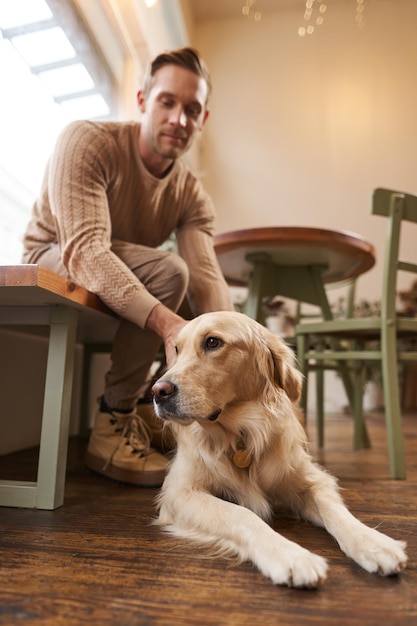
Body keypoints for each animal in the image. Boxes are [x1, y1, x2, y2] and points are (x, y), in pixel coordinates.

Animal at [151, 310, 404, 588]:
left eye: (212, 342)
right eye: (176, 349)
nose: (158, 392)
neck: (242, 436)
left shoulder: (313, 480)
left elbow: (336, 510)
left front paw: (373, 543)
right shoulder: (180, 492)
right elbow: (242, 514)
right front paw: (292, 556)